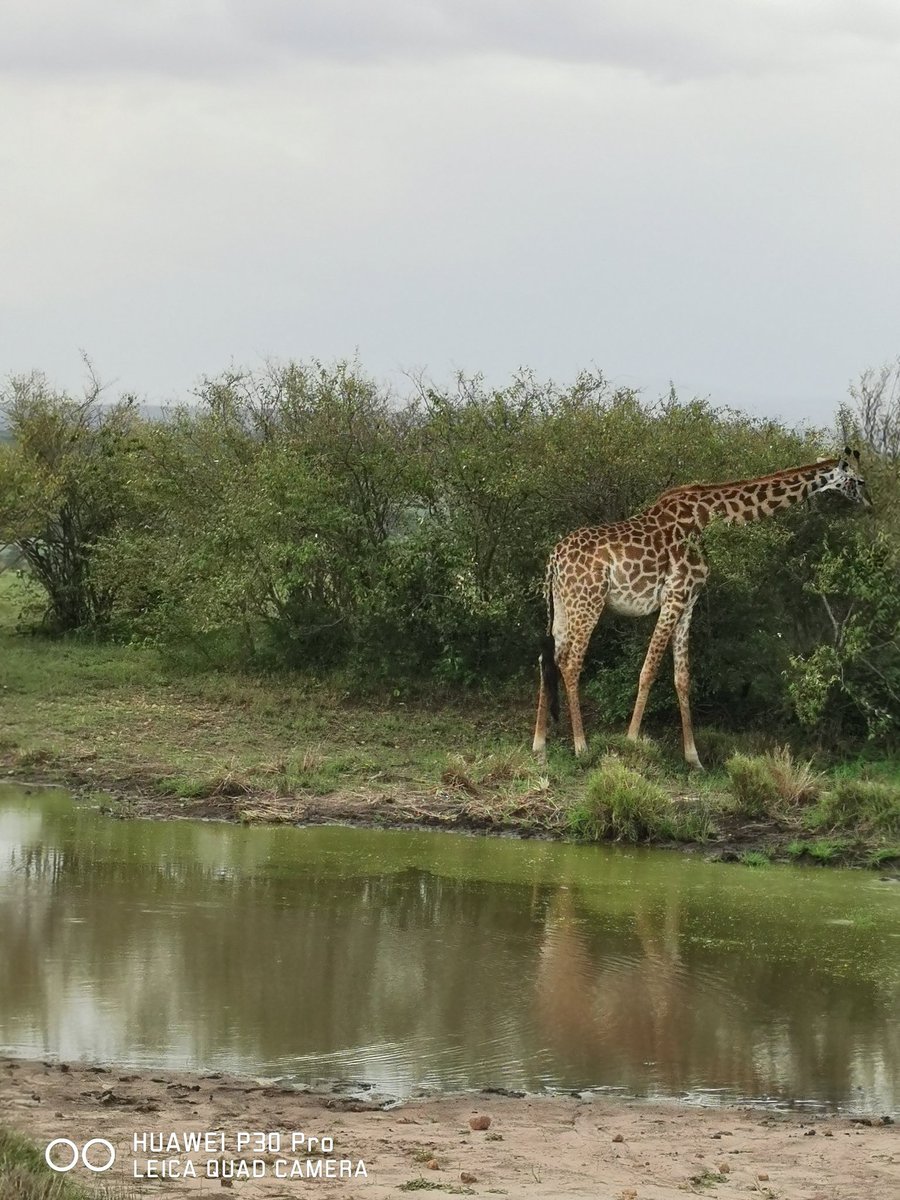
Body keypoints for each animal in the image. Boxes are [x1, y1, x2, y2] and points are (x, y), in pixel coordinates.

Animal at [532, 450, 870, 768]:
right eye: (860, 481)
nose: (868, 505)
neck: (708, 517)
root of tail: (554, 558)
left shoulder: (689, 601)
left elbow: (682, 677)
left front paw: (694, 759)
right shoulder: (675, 594)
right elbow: (649, 668)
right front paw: (630, 743)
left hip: (563, 604)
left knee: (548, 658)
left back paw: (539, 745)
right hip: (588, 601)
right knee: (571, 662)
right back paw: (581, 747)